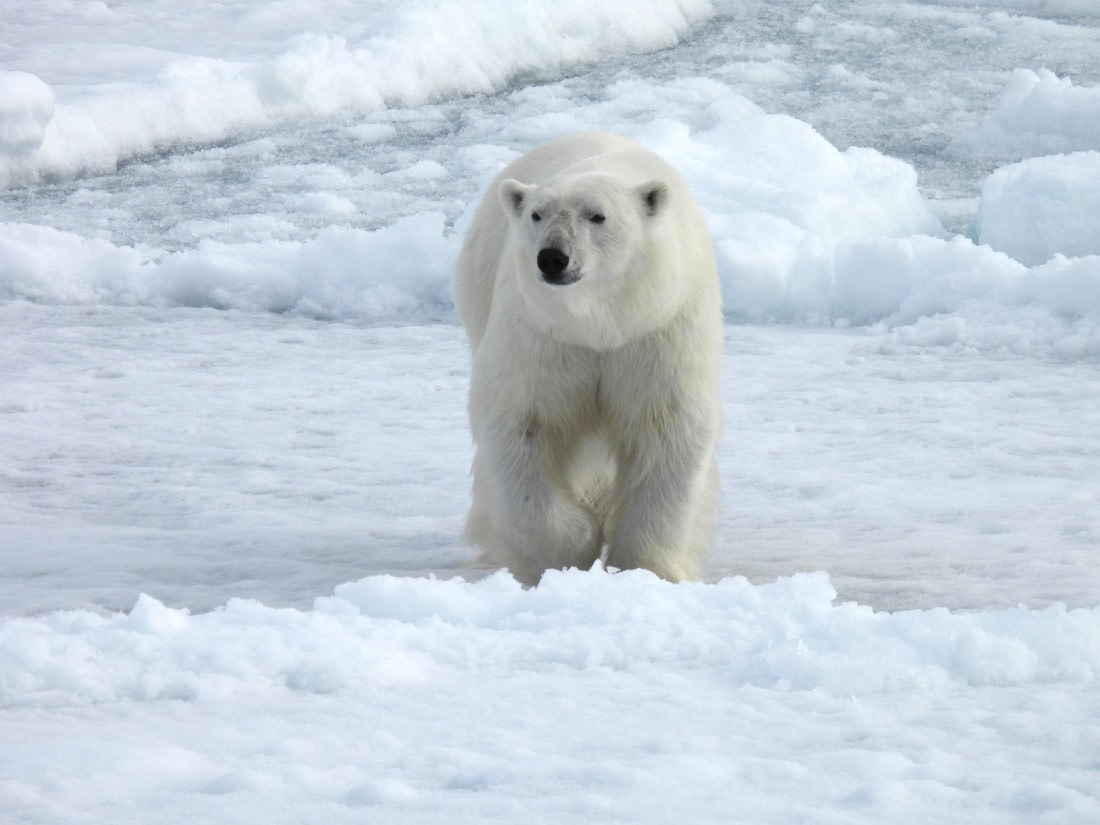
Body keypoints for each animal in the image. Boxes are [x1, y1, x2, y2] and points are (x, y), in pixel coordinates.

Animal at [453, 131, 722, 586]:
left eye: (597, 217)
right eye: (538, 215)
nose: (552, 257)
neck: (600, 324)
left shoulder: (656, 330)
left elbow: (667, 428)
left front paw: (646, 567)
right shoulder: (543, 335)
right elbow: (521, 422)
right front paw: (572, 549)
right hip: (480, 283)